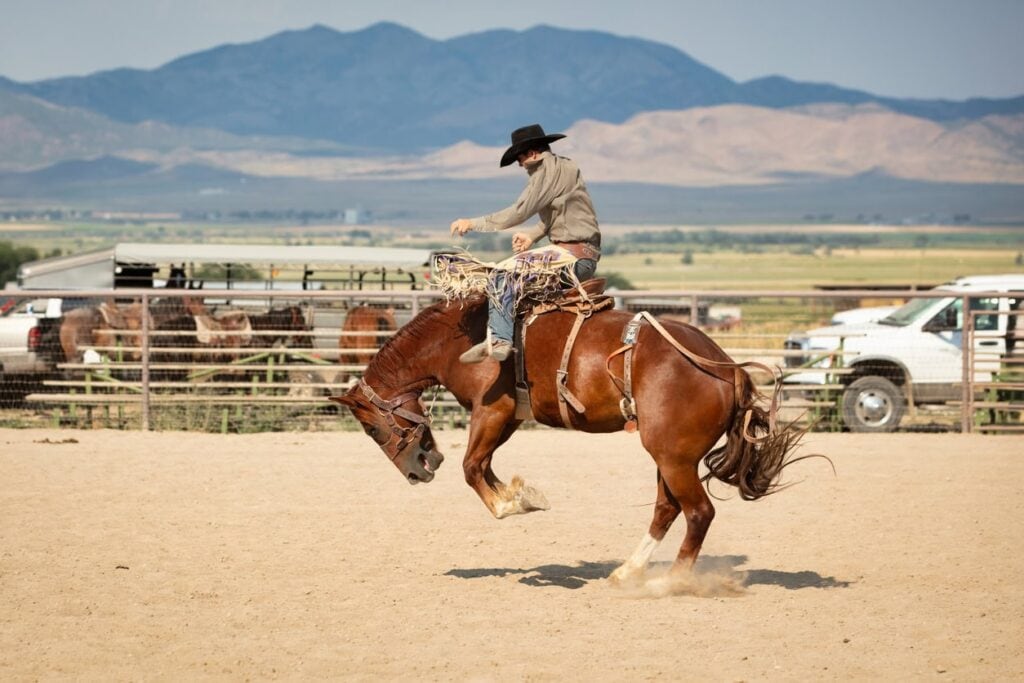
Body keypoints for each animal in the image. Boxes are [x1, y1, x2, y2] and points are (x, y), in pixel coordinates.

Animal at [330, 292, 813, 582]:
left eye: (371, 428)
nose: (417, 473)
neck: (457, 338)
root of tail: (727, 368)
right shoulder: (509, 417)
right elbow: (484, 464)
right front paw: (523, 493)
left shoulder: (492, 409)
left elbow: (471, 467)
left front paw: (512, 503)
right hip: (672, 455)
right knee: (667, 508)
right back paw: (626, 572)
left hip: (673, 456)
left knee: (698, 512)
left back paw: (669, 582)